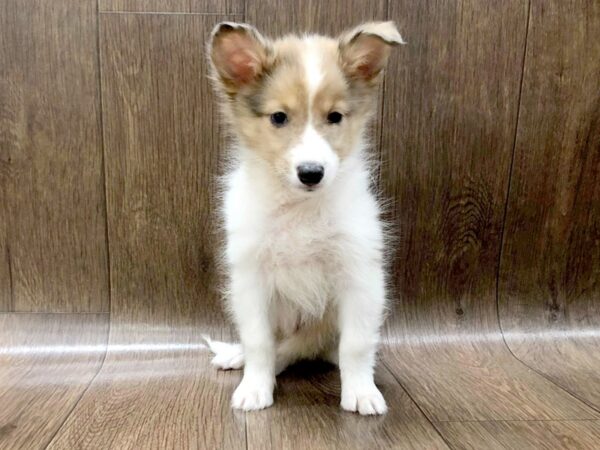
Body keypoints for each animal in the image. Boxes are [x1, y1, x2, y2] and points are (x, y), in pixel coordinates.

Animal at [205, 21, 404, 414]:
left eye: (335, 117)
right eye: (279, 117)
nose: (311, 173)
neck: (300, 209)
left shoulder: (360, 277)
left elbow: (356, 345)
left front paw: (362, 392)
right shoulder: (251, 280)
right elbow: (258, 341)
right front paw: (254, 388)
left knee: (300, 348)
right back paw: (236, 357)